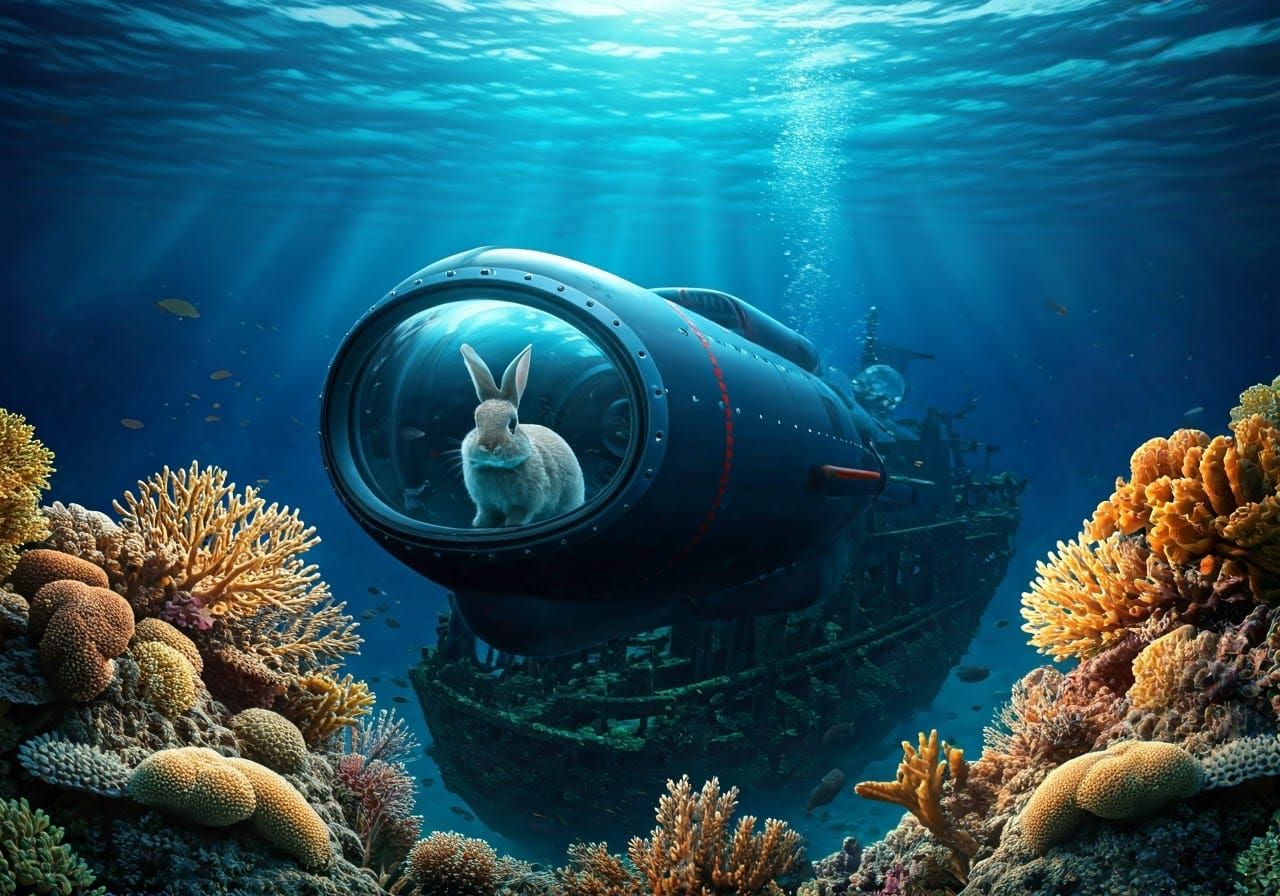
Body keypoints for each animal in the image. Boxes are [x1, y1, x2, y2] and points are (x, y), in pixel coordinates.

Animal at [459, 343, 585, 527]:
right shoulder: (485, 504)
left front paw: (510, 525)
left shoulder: (525, 505)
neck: (496, 469)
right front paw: (478, 524)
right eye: (476, 421)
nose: (488, 446)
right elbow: (486, 514)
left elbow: (518, 516)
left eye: (512, 424)